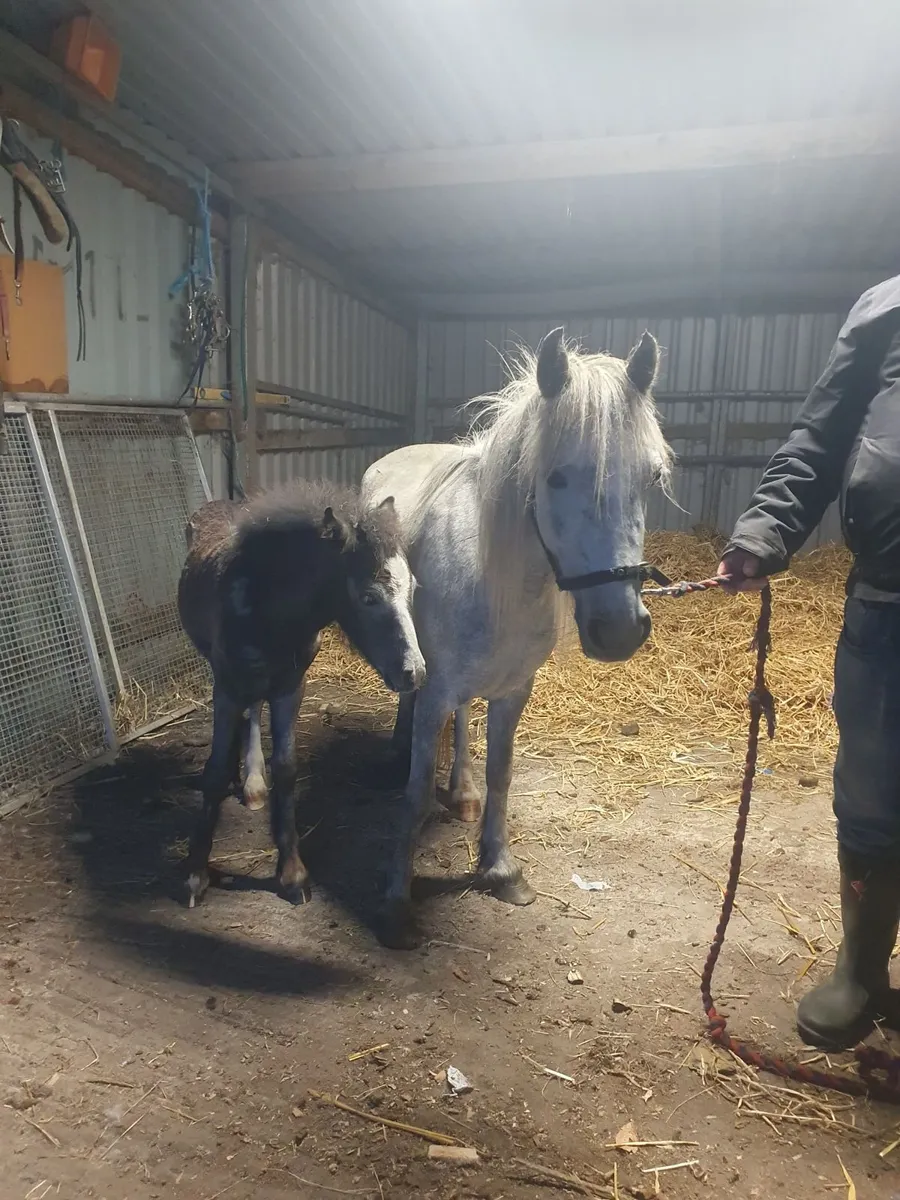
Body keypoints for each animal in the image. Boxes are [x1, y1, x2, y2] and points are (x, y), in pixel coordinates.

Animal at [177, 482, 426, 908]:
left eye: (412, 588)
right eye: (368, 597)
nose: (415, 672)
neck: (266, 605)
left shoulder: (291, 686)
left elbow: (287, 769)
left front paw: (292, 874)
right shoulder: (226, 686)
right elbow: (213, 772)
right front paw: (195, 874)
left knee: (254, 712)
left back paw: (252, 783)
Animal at [362, 328, 672, 948]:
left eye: (651, 477)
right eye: (554, 476)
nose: (619, 630)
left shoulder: (513, 690)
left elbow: (501, 773)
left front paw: (498, 868)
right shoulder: (435, 689)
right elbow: (414, 793)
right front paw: (394, 904)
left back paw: (461, 792)